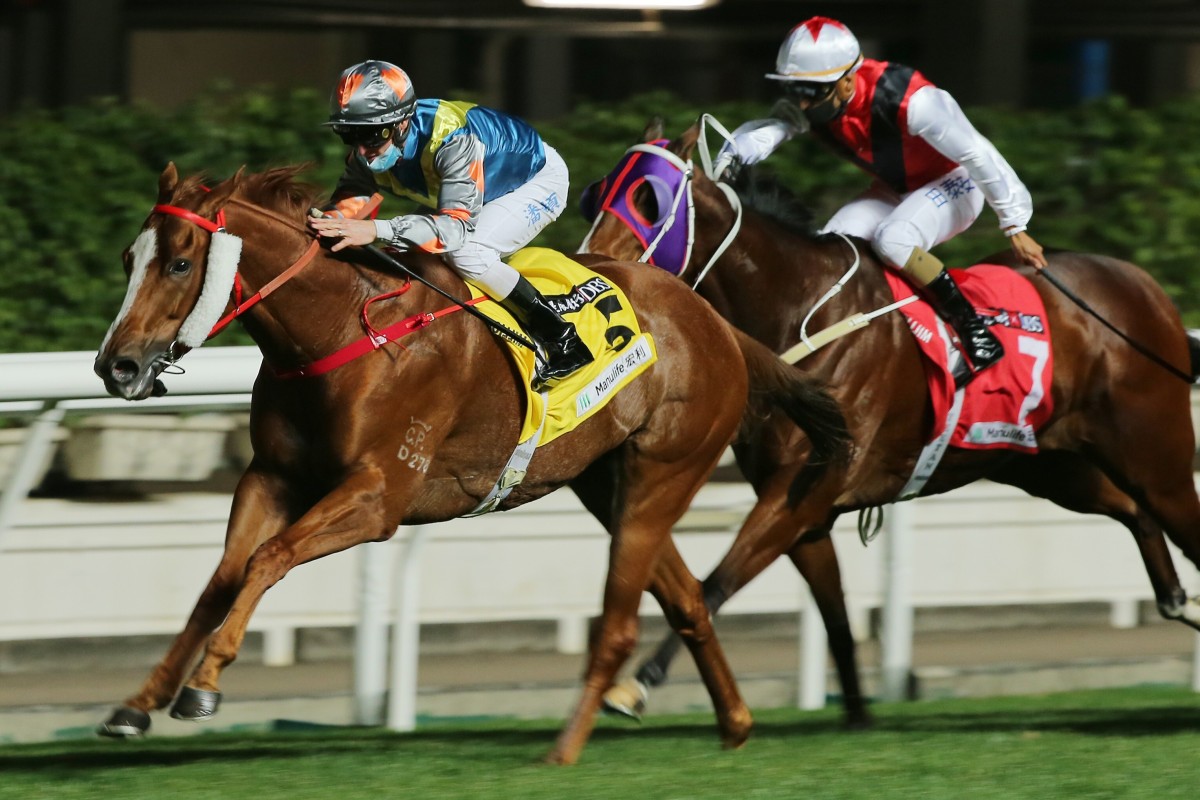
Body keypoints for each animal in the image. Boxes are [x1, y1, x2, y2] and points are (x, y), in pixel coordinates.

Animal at [91, 163, 854, 762]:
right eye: (128, 258)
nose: (116, 366)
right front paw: (138, 703)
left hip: (663, 472)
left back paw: (565, 748)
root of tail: (718, 324)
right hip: (608, 484)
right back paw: (734, 724)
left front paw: (204, 686)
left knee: (620, 622)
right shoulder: (271, 477)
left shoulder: (378, 496)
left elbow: (268, 559)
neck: (340, 328)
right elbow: (221, 579)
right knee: (690, 598)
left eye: (180, 263)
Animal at [578, 117, 1200, 724]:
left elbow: (720, 580)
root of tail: (1146, 288)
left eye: (648, 199)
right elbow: (834, 615)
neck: (802, 310)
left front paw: (636, 685)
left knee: (1170, 515)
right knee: (1135, 514)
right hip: (1050, 466)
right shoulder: (805, 508)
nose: (592, 264)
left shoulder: (806, 485)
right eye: (597, 192)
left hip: (1155, 457)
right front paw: (857, 716)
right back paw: (1177, 600)